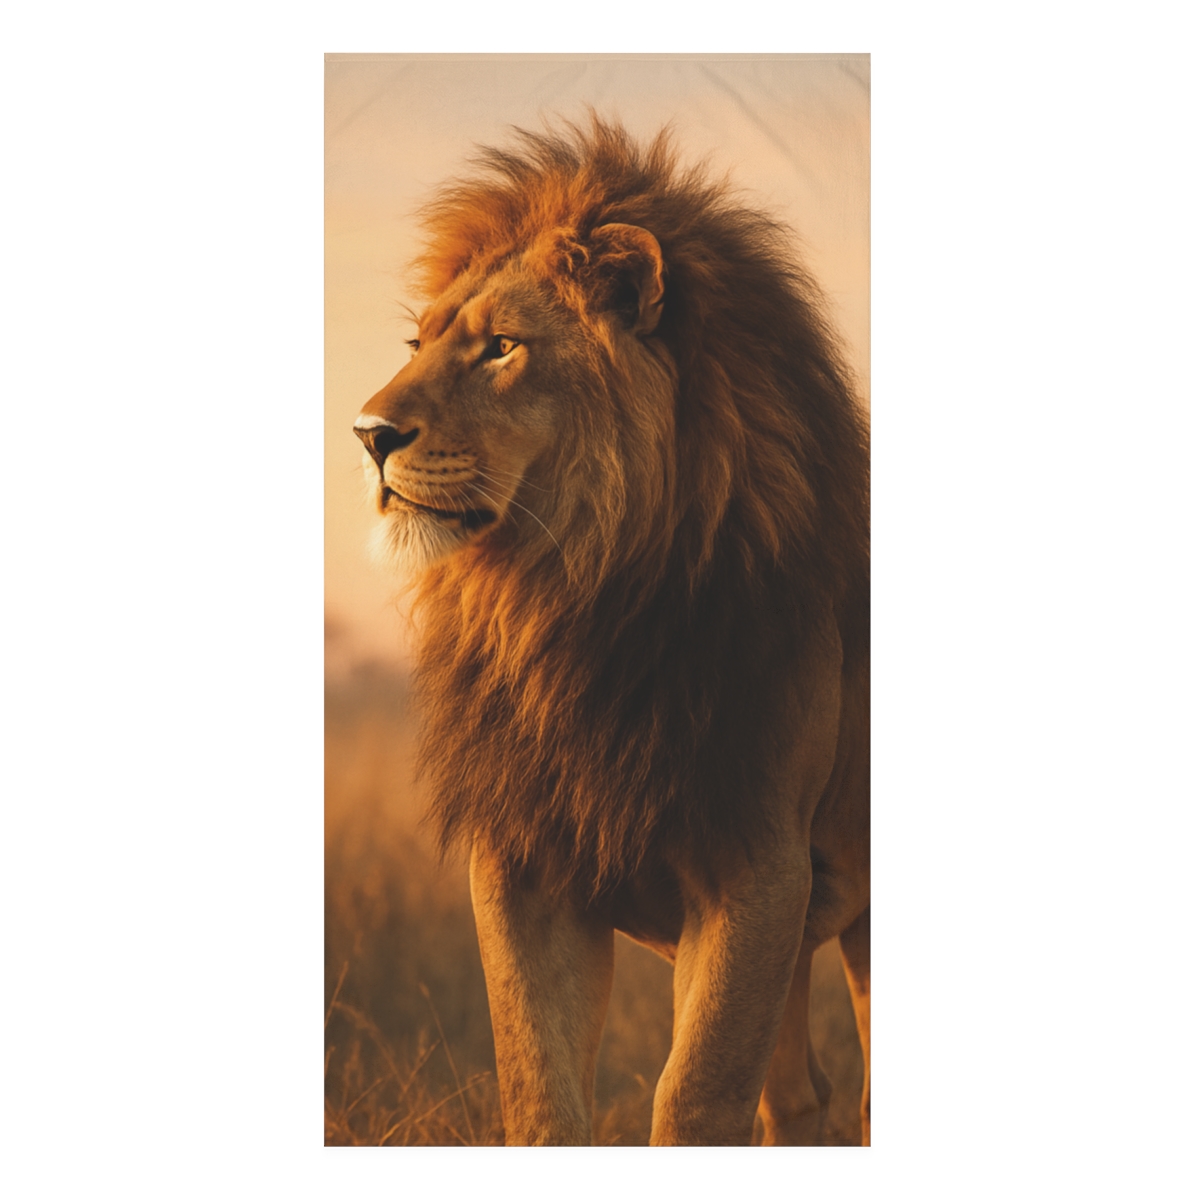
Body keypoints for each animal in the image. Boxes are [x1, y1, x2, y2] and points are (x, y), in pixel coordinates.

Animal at [353, 117, 870, 1147]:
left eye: (500, 348)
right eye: (418, 343)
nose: (366, 434)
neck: (571, 601)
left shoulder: (757, 867)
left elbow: (695, 1098)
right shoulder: (524, 865)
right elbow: (539, 1092)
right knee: (800, 1099)